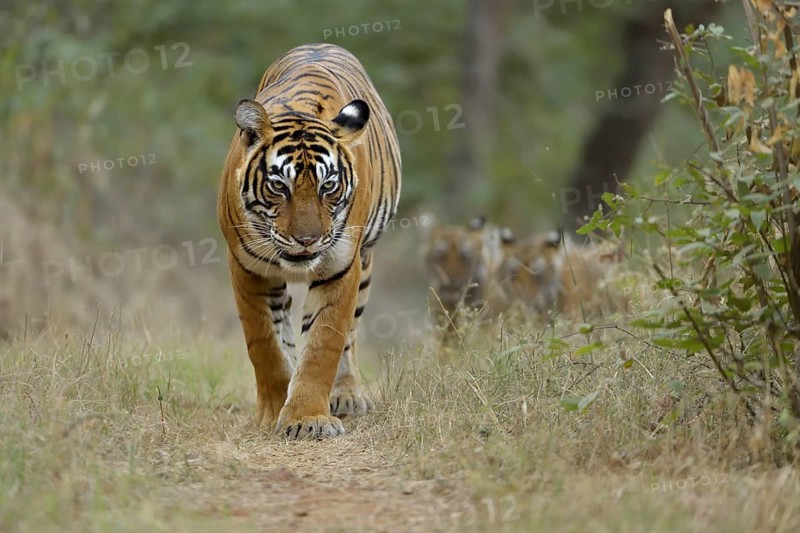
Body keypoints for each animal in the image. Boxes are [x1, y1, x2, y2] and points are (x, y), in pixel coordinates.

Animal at [217, 44, 401, 439]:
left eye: (327, 186)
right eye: (278, 186)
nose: (306, 240)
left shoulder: (341, 267)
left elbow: (323, 344)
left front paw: (307, 419)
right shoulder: (247, 267)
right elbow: (265, 343)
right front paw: (274, 411)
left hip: (365, 265)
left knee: (349, 336)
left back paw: (346, 396)